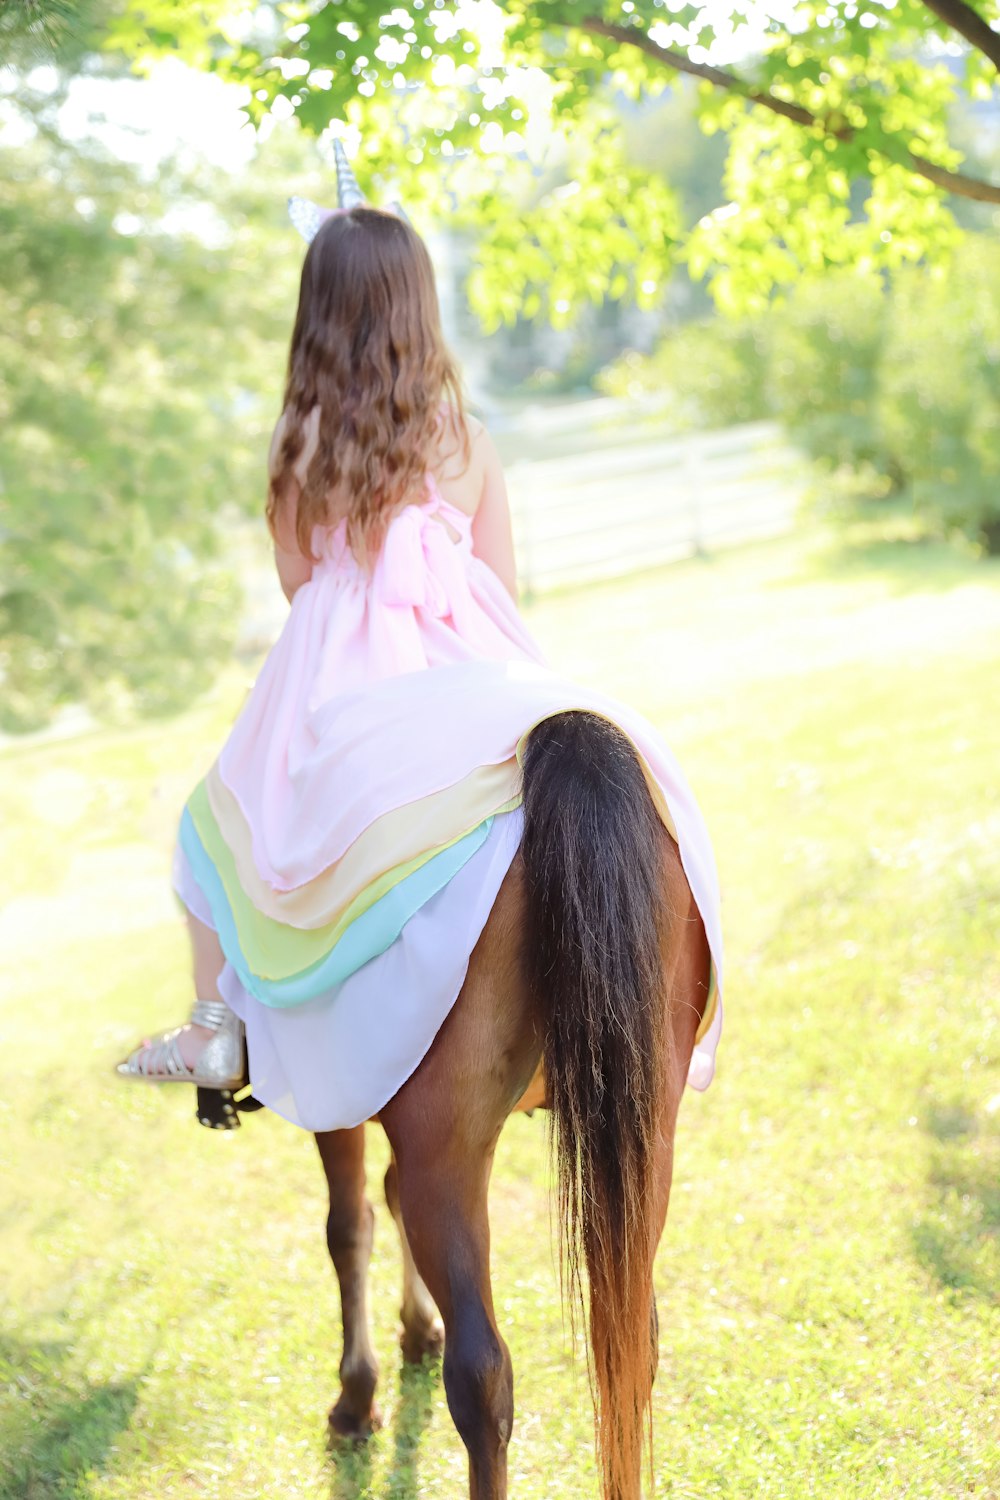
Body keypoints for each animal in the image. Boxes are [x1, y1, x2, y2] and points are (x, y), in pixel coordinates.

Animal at [313, 708, 710, 1494]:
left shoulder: (338, 1092)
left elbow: (349, 1227)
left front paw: (358, 1395)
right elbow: (382, 1200)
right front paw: (414, 1330)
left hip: (449, 1152)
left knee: (482, 1376)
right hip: (646, 1134)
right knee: (632, 1337)